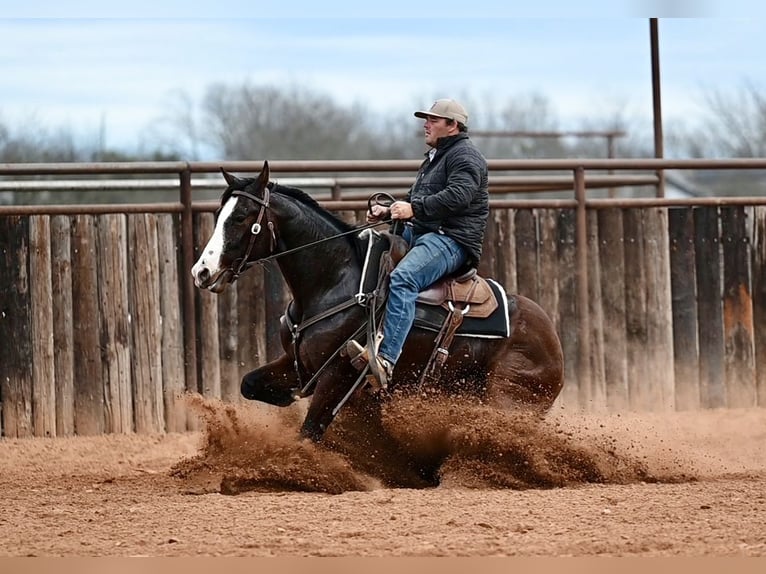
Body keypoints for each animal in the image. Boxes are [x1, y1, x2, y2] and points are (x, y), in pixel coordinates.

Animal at [191, 161, 564, 444]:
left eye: (241, 217)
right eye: (218, 214)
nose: (201, 271)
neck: (334, 280)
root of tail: (553, 339)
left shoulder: (336, 376)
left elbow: (309, 432)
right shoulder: (299, 363)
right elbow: (251, 385)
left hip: (507, 398)